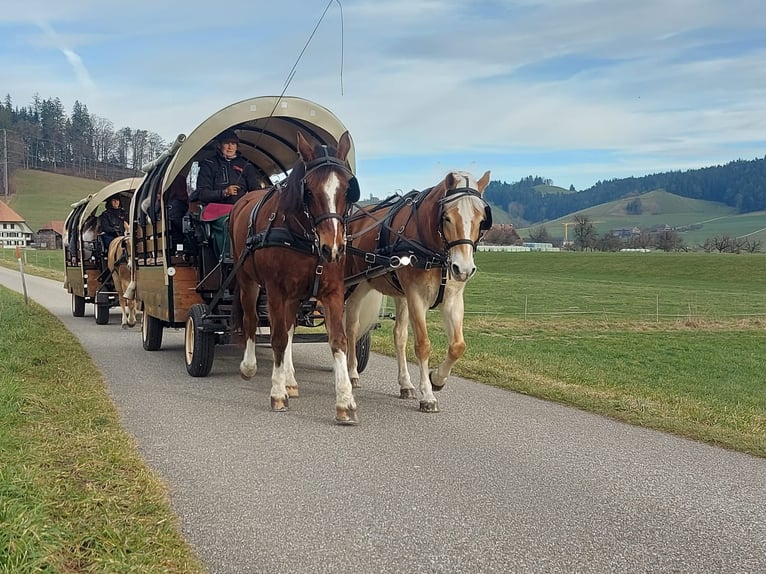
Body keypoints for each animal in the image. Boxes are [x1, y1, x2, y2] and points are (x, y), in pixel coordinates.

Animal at [228, 133, 364, 426]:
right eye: (309, 191)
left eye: (348, 189)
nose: (332, 248)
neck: (304, 237)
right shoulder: (276, 291)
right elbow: (277, 338)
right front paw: (277, 394)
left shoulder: (332, 292)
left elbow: (337, 341)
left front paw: (345, 401)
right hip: (248, 281)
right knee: (251, 320)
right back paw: (250, 366)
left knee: (289, 327)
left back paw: (289, 379)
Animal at [346, 170, 492, 414]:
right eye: (447, 217)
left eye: (482, 220)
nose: (463, 269)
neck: (437, 254)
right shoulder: (416, 296)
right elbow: (423, 345)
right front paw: (428, 396)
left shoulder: (452, 300)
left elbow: (458, 346)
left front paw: (437, 379)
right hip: (356, 286)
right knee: (350, 328)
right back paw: (352, 373)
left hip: (398, 294)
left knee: (399, 335)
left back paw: (405, 384)